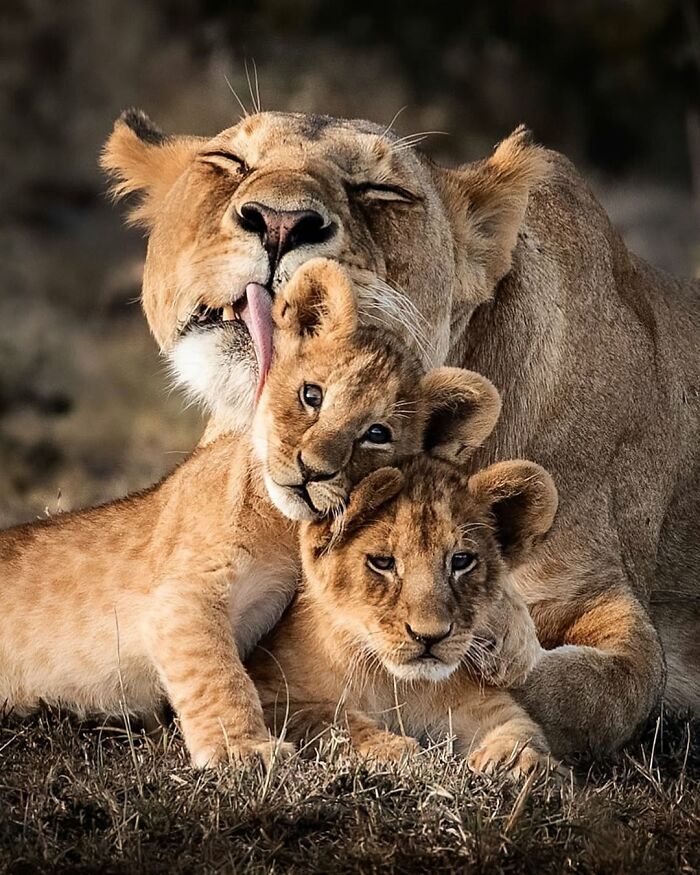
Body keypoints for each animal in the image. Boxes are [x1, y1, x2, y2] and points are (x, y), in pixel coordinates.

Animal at [0, 258, 502, 767]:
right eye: (312, 395)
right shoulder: (181, 597)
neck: (282, 529)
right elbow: (219, 675)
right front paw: (242, 750)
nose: (311, 469)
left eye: (377, 433)